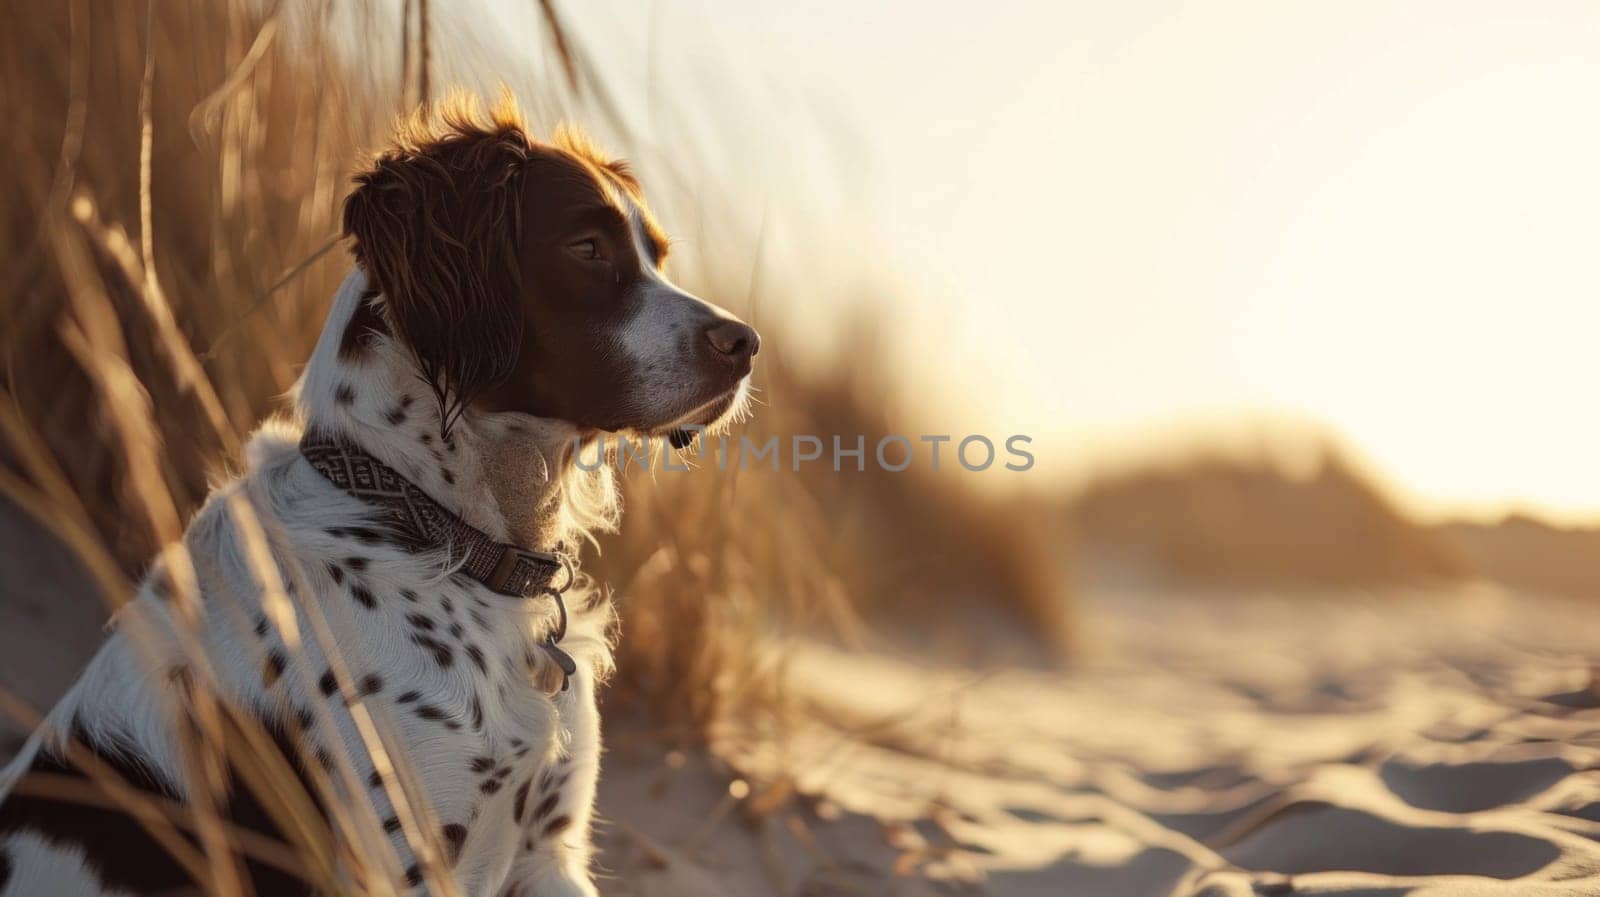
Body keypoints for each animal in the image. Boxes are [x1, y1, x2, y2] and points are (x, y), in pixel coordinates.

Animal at [0, 97, 758, 895]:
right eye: (585, 247)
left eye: (656, 256)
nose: (746, 344)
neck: (442, 530)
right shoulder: (405, 861)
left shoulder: (550, 851)